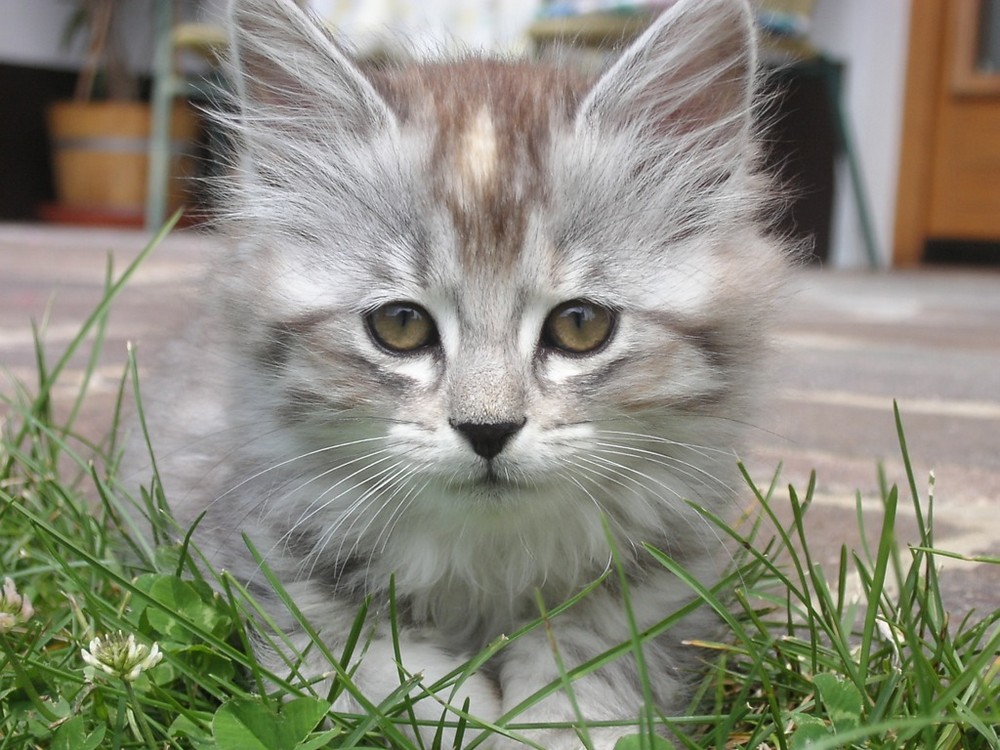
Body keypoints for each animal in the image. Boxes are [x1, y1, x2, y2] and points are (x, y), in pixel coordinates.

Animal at [150, 1, 788, 748]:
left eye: (580, 325)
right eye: (401, 325)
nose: (487, 430)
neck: (490, 559)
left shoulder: (656, 584)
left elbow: (587, 677)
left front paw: (554, 725)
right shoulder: (271, 566)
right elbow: (393, 674)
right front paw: (473, 721)